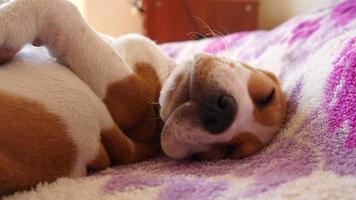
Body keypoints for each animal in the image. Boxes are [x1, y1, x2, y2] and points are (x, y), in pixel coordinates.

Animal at [0, 0, 286, 197]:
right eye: (266, 96)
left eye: (220, 154)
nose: (223, 112)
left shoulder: (130, 103)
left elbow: (62, 10)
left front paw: (7, 22)